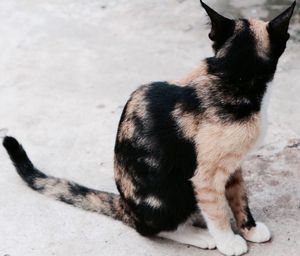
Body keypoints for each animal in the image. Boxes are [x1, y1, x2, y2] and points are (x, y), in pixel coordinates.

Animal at [2, 0, 296, 256]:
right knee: (151, 228)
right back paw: (200, 235)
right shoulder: (206, 176)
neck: (232, 74)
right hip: (172, 191)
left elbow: (239, 197)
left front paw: (250, 229)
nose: (244, 232)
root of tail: (126, 206)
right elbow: (218, 209)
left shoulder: (234, 165)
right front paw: (228, 241)